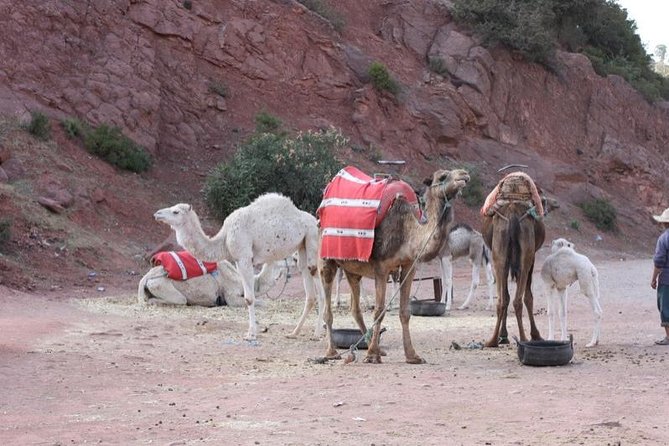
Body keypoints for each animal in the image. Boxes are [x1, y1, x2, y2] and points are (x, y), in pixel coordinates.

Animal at [153, 193, 325, 340]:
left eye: (175, 211)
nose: (157, 214)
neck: (224, 237)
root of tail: (316, 222)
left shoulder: (244, 257)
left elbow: (249, 298)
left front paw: (251, 334)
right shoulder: (237, 260)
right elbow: (250, 296)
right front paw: (253, 331)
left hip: (312, 239)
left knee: (318, 284)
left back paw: (317, 334)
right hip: (302, 247)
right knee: (309, 290)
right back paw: (294, 332)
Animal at [319, 168, 470, 364]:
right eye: (442, 176)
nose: (464, 174)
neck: (407, 233)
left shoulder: (409, 266)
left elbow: (405, 311)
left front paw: (412, 355)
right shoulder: (381, 268)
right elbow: (379, 311)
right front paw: (372, 355)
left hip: (353, 268)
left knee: (355, 308)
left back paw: (375, 348)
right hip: (327, 259)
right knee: (328, 308)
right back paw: (332, 352)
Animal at [481, 172, 546, 347]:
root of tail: (512, 213)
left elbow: (507, 296)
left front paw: (504, 335)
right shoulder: (533, 257)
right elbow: (529, 296)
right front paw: (536, 334)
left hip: (499, 253)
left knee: (503, 299)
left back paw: (493, 340)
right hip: (526, 255)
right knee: (518, 299)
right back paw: (523, 338)